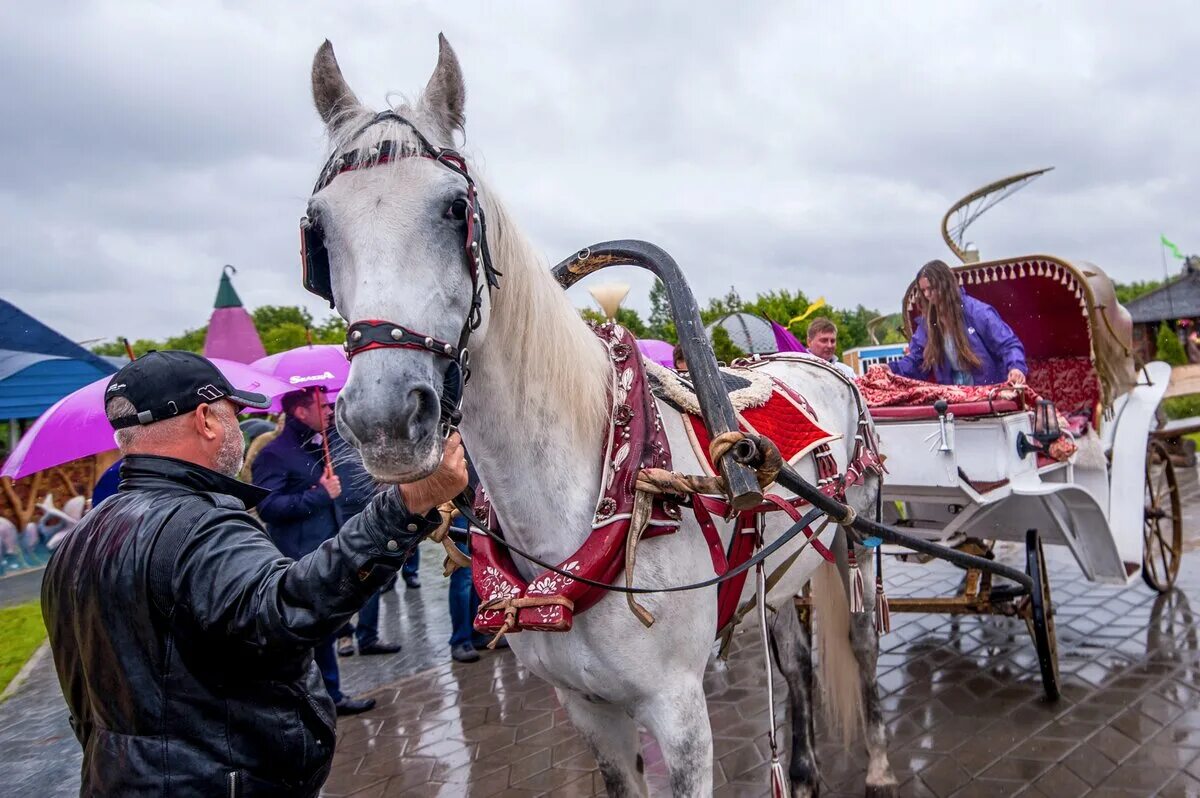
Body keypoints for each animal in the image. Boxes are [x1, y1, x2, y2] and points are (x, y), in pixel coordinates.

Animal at [304, 37, 897, 796]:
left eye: (454, 210)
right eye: (319, 231)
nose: (383, 418)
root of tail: (825, 364)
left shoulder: (679, 713)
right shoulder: (588, 710)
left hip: (854, 534)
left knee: (861, 640)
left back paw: (877, 761)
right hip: (780, 567)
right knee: (793, 660)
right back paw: (799, 767)